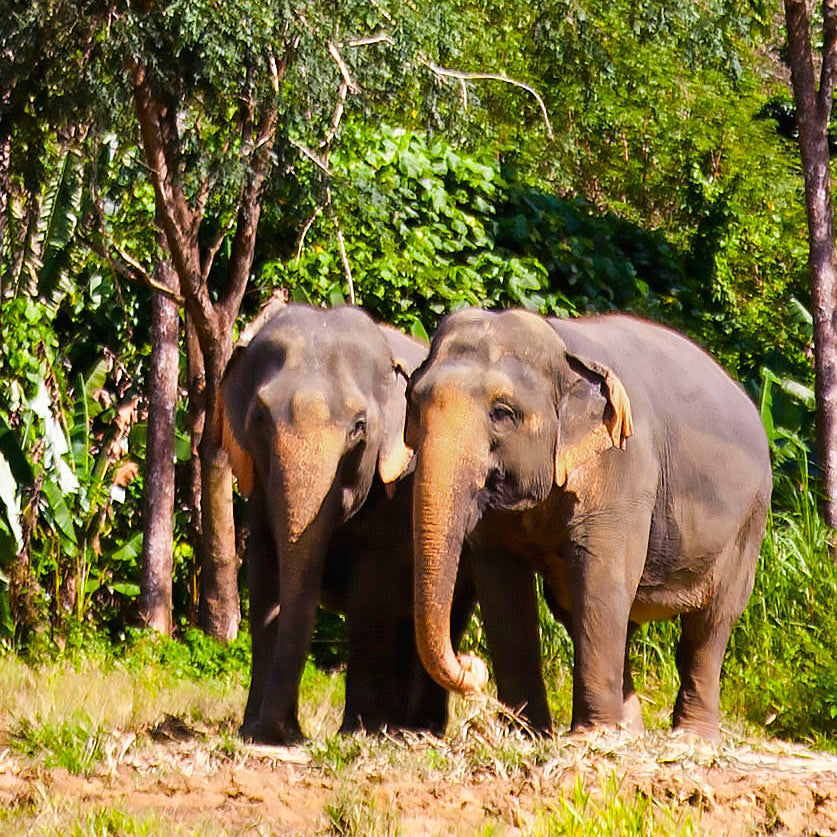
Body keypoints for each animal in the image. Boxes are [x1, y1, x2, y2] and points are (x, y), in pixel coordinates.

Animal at [217, 303, 475, 744]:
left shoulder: (398, 491)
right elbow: (265, 586)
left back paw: (415, 728)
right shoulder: (260, 494)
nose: (286, 732)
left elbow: (370, 594)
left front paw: (359, 730)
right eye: (260, 419)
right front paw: (252, 731)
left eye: (358, 427)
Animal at [400, 307, 771, 740]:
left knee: (709, 626)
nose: (472, 666)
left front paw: (588, 736)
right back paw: (630, 734)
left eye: (502, 413)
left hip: (749, 522)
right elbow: (504, 589)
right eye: (414, 403)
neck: (562, 346)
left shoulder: (624, 463)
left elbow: (600, 577)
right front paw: (529, 735)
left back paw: (692, 738)